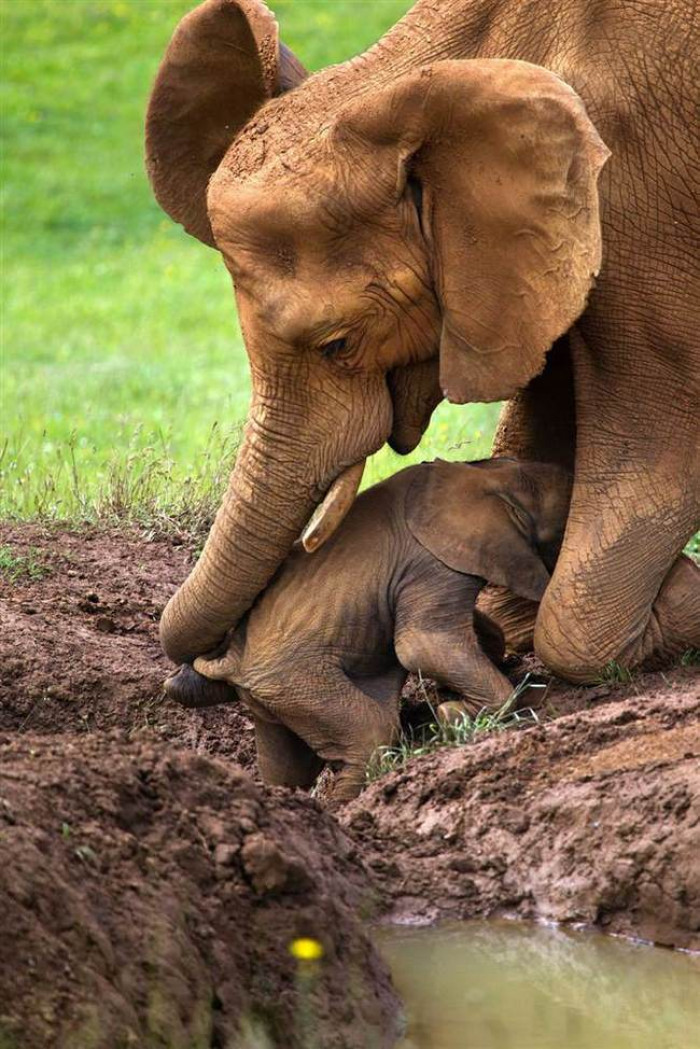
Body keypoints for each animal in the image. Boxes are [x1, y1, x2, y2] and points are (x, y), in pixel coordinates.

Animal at [174, 459, 570, 801]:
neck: (489, 475)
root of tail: (231, 662)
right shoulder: (431, 563)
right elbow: (421, 645)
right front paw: (452, 716)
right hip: (291, 679)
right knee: (372, 735)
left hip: (270, 695)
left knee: (287, 767)